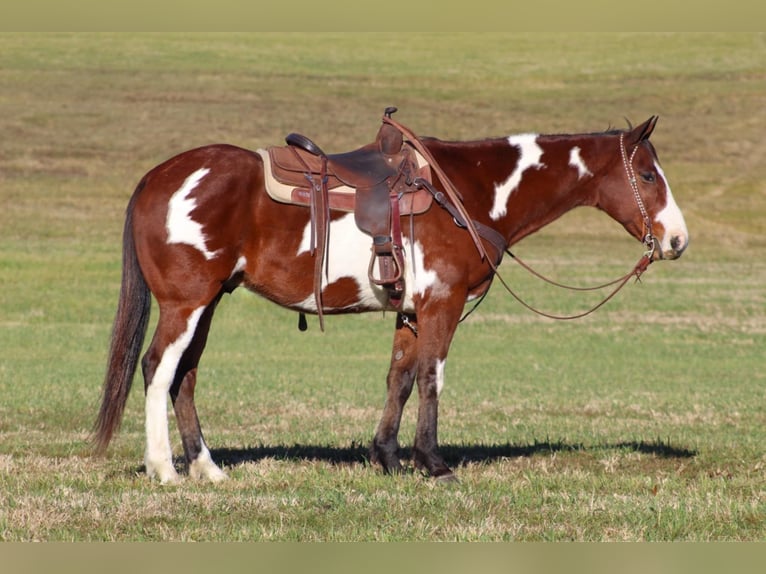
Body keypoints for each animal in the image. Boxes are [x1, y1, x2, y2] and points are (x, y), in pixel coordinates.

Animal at [94, 110, 688, 484]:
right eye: (646, 174)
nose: (678, 240)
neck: (465, 192)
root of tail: (156, 178)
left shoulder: (410, 310)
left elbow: (398, 379)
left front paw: (388, 458)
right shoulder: (442, 303)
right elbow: (430, 377)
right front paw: (433, 463)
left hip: (209, 302)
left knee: (185, 375)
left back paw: (207, 468)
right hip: (186, 303)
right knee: (157, 368)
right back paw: (165, 470)